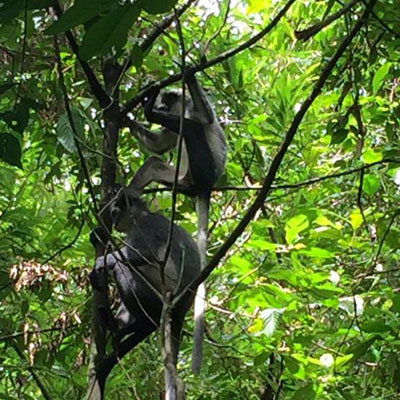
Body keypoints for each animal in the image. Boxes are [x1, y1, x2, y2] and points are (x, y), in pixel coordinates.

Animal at [92, 189, 202, 368]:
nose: (114, 223)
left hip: (160, 298)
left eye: (114, 213)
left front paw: (102, 261)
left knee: (122, 267)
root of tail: (182, 307)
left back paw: (140, 324)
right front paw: (98, 236)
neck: (142, 215)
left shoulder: (146, 224)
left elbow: (143, 254)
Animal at [125, 72, 227, 376]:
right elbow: (158, 146)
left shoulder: (192, 108)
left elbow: (206, 117)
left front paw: (191, 71)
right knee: (154, 162)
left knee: (192, 130)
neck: (180, 108)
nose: (159, 106)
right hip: (182, 179)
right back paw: (126, 195)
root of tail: (202, 186)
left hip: (204, 167)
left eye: (166, 101)